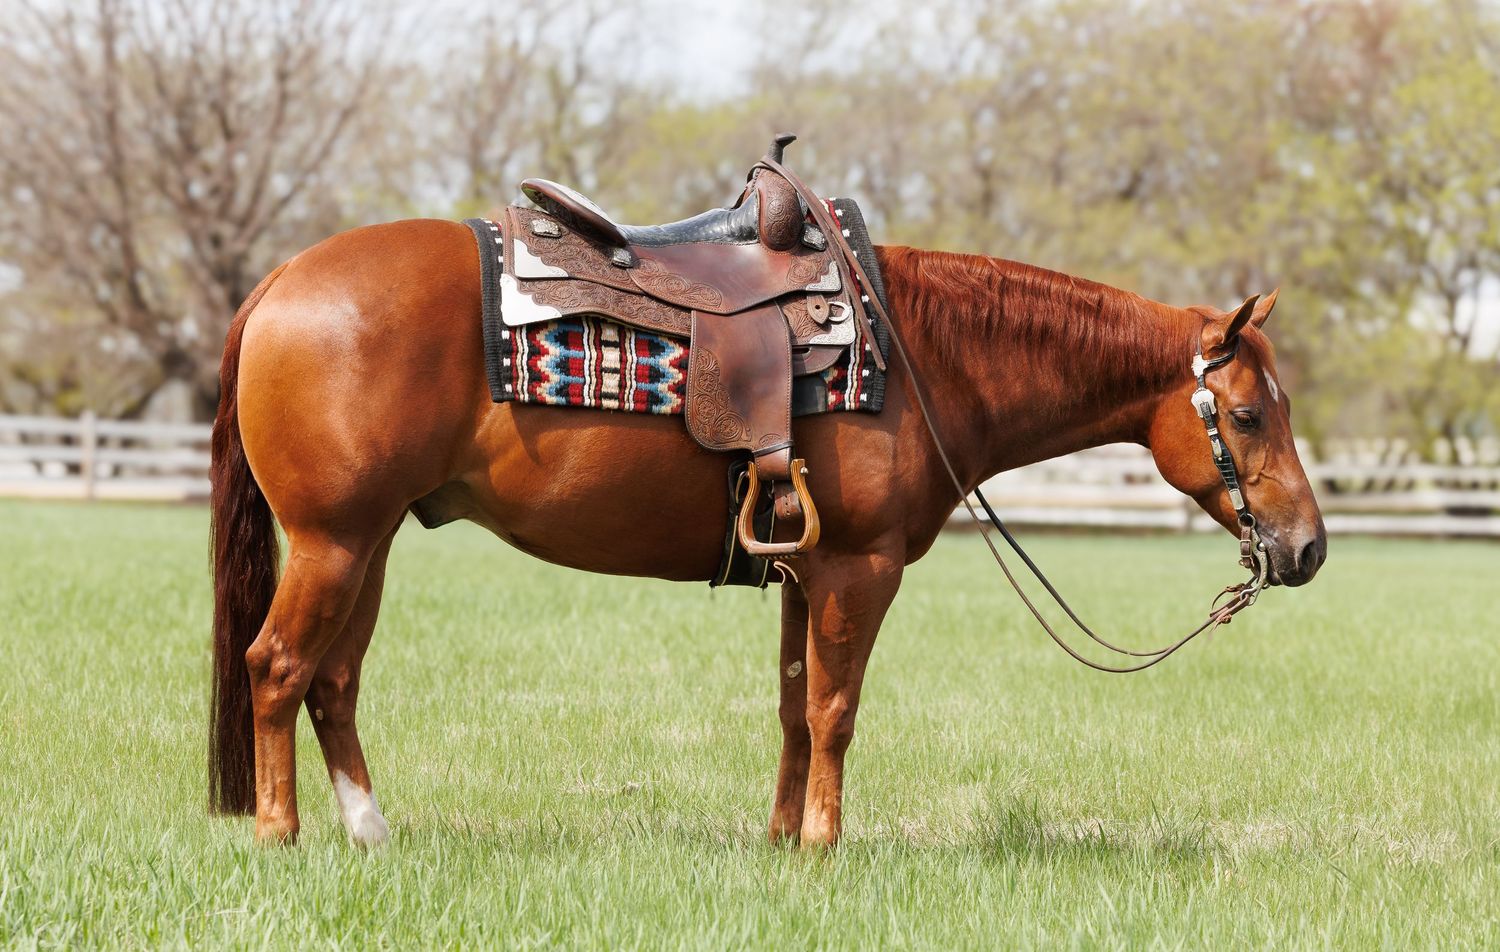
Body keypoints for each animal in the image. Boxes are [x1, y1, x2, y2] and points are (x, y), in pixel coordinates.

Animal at [209, 222, 1327, 847]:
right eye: (1251, 415)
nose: (1309, 548)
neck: (920, 354)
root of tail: (279, 283)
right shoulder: (858, 570)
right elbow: (836, 711)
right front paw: (827, 844)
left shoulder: (803, 575)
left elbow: (795, 711)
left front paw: (783, 840)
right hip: (334, 539)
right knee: (276, 666)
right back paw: (279, 833)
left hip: (370, 543)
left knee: (332, 680)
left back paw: (368, 831)